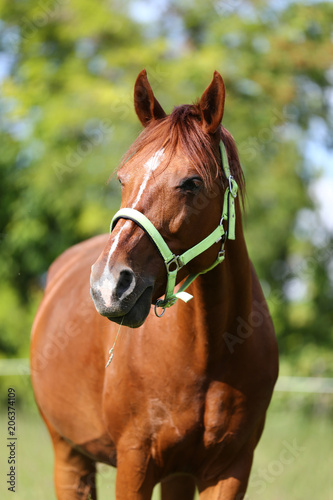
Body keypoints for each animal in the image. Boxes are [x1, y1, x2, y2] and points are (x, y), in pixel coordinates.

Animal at [30, 71, 278, 500]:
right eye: (122, 178)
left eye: (191, 183)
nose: (109, 285)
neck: (209, 354)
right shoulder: (135, 462)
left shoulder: (230, 470)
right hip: (68, 454)